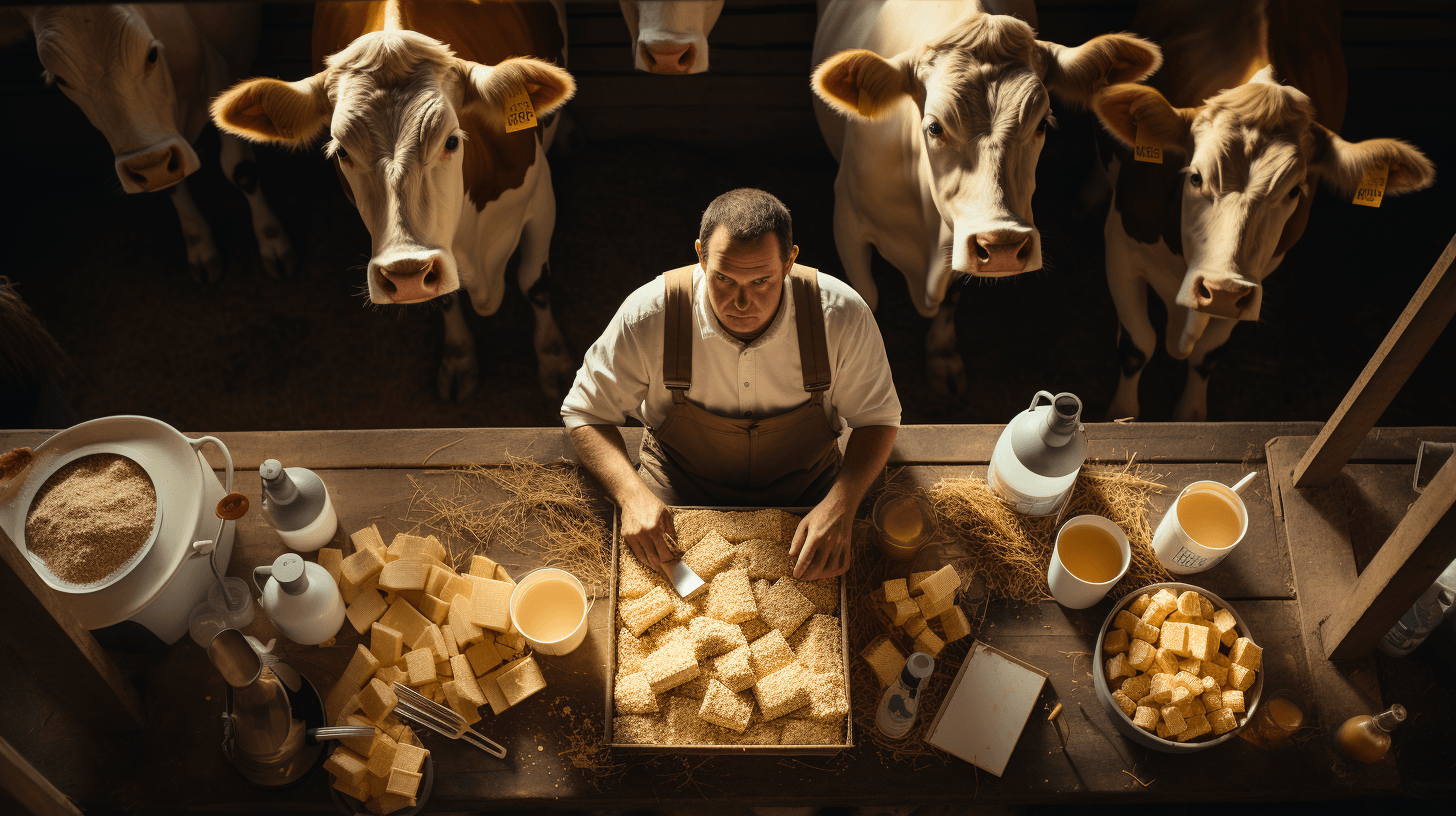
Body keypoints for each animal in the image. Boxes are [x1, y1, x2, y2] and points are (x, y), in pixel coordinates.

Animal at [0, 3, 298, 284]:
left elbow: (240, 169)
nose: (150, 166)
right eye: (60, 79)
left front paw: (273, 241)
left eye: (151, 54)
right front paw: (200, 247)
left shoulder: (220, 75)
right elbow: (172, 185)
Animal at [212, 0, 576, 402]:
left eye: (452, 141)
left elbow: (535, 284)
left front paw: (554, 362)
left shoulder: (540, 198)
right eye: (342, 152)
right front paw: (459, 358)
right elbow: (446, 298)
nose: (406, 274)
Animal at [809, 0, 1158, 396]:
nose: (1004, 243)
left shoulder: (962, 235)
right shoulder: (848, 220)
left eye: (1042, 123)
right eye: (934, 126)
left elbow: (952, 296)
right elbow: (866, 299)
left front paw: (942, 356)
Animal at [1094, 0, 1432, 419]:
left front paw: (1190, 416)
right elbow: (1137, 345)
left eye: (1295, 192)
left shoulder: (1256, 277)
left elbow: (1206, 355)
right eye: (1195, 177)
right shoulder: (1121, 243)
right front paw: (1120, 415)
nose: (1222, 291)